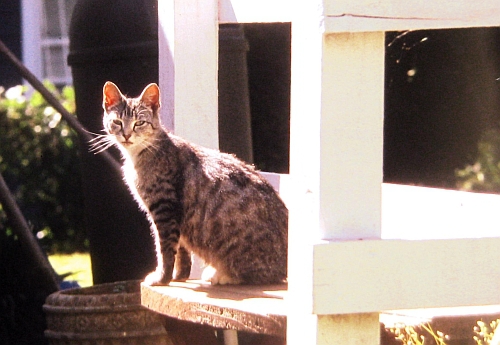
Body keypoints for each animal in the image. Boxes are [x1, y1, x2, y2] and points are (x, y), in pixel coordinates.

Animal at [95, 81, 288, 284]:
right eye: (117, 122)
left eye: (139, 123)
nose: (126, 134)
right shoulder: (176, 217)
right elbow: (181, 251)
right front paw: (179, 276)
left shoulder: (164, 209)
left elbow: (165, 250)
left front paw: (162, 278)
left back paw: (223, 275)